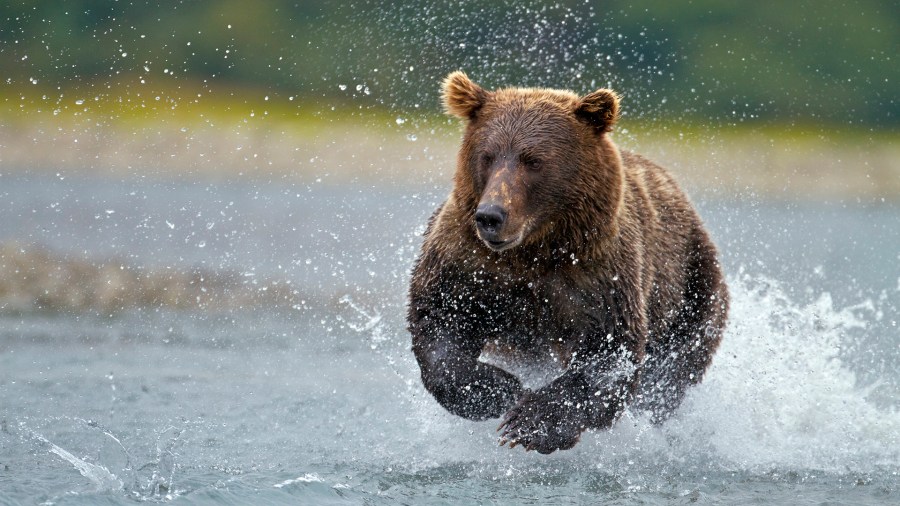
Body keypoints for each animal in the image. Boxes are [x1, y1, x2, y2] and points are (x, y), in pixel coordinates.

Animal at [407, 71, 729, 454]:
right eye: (487, 156)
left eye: (533, 160)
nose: (490, 216)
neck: (536, 249)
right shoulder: (469, 263)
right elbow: (440, 319)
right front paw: (497, 389)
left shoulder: (600, 276)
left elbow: (609, 353)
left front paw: (531, 424)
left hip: (692, 285)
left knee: (671, 371)